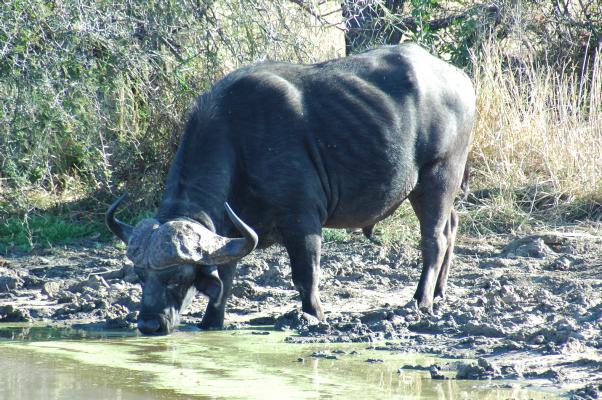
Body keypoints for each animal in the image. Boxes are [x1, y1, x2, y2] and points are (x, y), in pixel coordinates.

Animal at [106, 43, 474, 334]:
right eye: (141, 276)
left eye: (177, 278)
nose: (148, 324)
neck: (238, 142)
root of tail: (460, 79)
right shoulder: (232, 232)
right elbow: (225, 277)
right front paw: (212, 322)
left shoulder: (302, 219)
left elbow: (305, 274)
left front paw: (313, 315)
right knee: (452, 225)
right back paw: (439, 293)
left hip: (438, 176)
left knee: (434, 240)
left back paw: (421, 300)